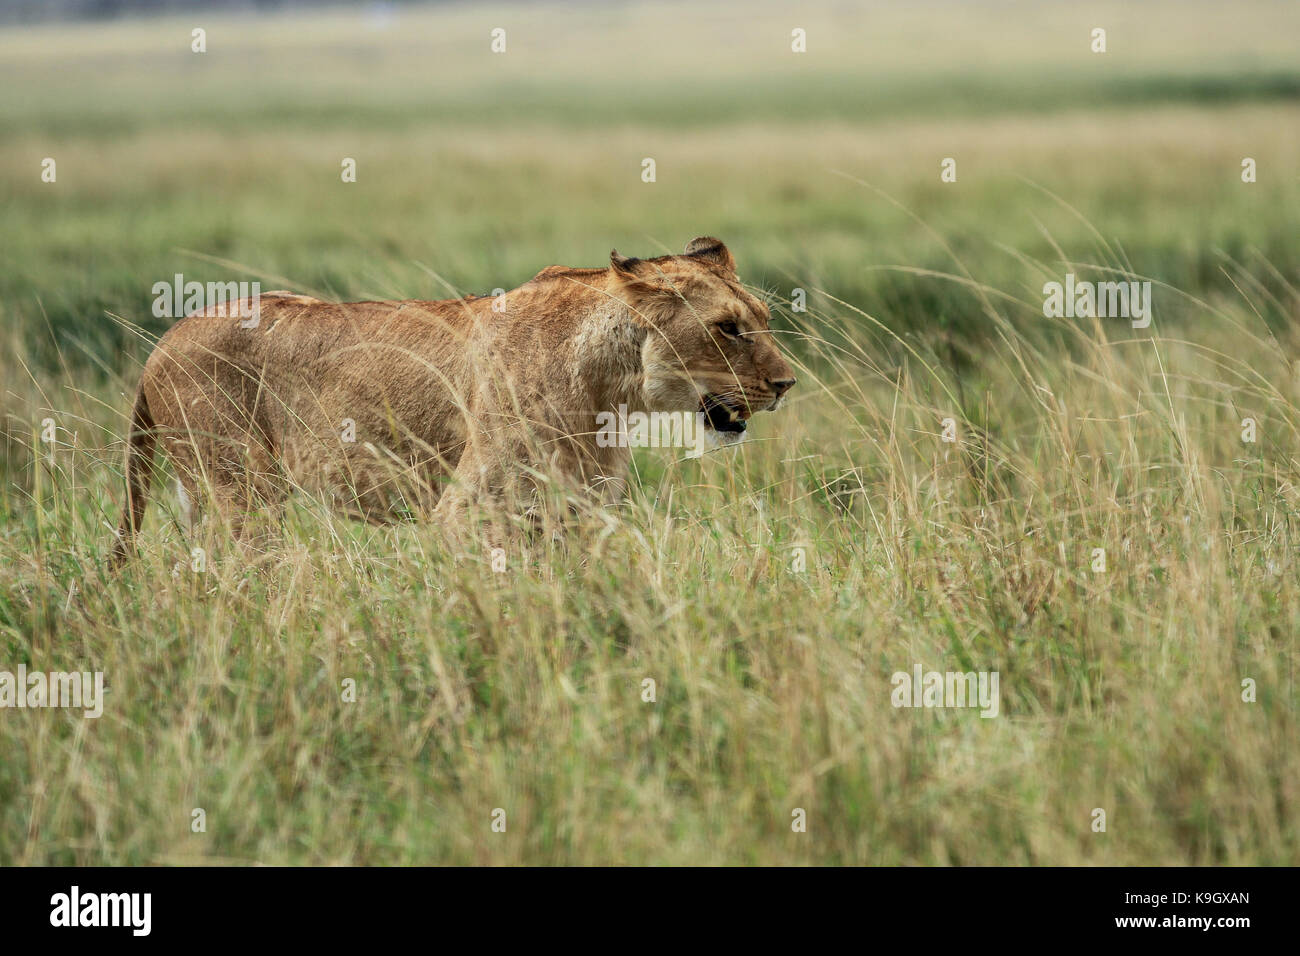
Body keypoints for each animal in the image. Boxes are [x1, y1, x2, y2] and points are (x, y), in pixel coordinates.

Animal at [110, 237, 796, 561]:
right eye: (728, 328)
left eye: (763, 320)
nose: (787, 384)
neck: (614, 390)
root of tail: (163, 341)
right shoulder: (466, 511)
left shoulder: (579, 508)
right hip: (242, 490)